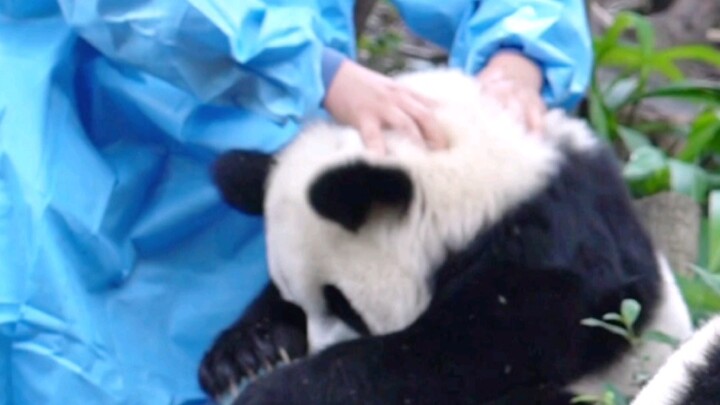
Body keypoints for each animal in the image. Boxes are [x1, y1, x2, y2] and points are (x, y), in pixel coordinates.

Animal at [199, 69, 693, 404]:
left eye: (344, 305)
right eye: (299, 303)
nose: (316, 347)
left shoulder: (557, 249)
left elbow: (468, 351)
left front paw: (279, 389)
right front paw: (246, 354)